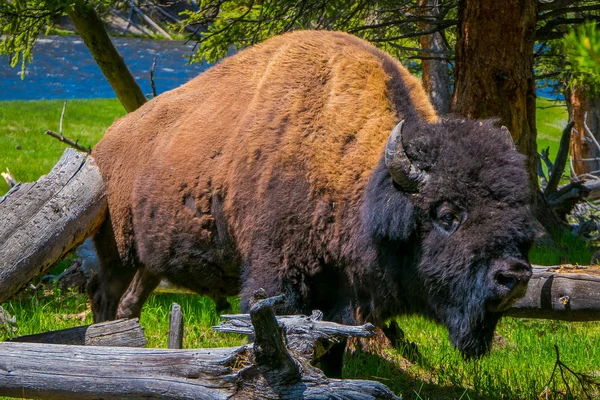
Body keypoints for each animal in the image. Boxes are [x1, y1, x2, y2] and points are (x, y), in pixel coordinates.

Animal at [92, 30, 536, 360]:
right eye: (446, 215)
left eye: (522, 223)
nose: (513, 277)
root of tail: (105, 142)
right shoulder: (275, 282)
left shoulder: (342, 300)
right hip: (117, 254)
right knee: (105, 295)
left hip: (149, 261)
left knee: (130, 302)